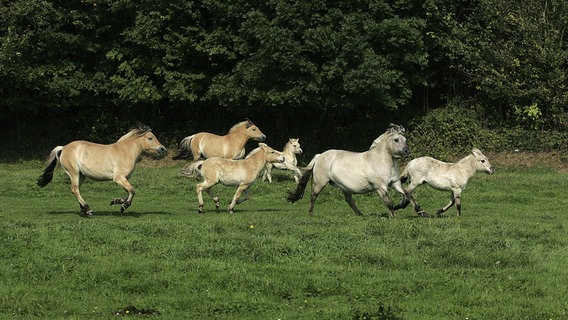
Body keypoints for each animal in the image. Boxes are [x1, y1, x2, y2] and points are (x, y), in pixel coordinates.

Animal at [36, 124, 166, 216]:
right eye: (150, 138)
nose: (163, 149)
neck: (125, 152)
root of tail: (63, 148)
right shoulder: (118, 178)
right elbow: (132, 191)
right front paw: (124, 206)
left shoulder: (124, 179)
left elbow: (128, 192)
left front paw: (116, 201)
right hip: (74, 173)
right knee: (74, 190)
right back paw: (88, 210)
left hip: (81, 176)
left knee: (76, 190)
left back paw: (84, 210)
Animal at [288, 124, 422, 218]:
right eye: (396, 140)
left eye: (405, 139)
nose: (407, 151)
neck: (380, 161)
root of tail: (320, 155)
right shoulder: (381, 187)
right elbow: (388, 202)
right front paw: (394, 215)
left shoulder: (395, 183)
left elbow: (408, 194)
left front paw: (420, 211)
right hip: (320, 182)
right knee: (313, 196)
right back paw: (310, 213)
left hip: (344, 187)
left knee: (350, 201)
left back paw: (360, 214)